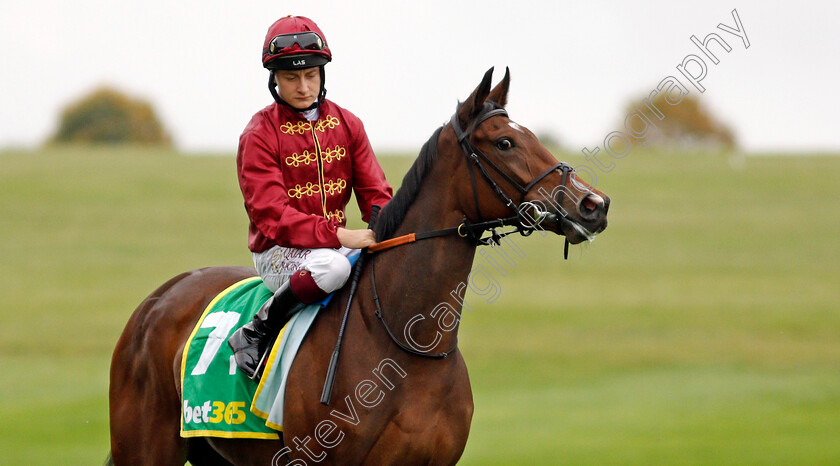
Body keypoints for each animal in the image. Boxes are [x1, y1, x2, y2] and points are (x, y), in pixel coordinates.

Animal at [110, 67, 612, 464]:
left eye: (533, 137)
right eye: (505, 142)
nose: (593, 204)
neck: (406, 346)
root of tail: (157, 300)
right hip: (146, 446)